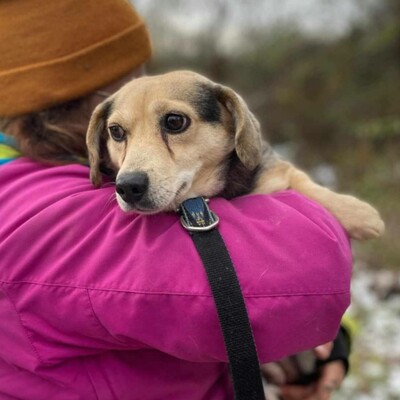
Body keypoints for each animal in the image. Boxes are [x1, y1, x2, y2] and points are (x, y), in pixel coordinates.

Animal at [86, 69, 384, 241]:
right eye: (116, 131)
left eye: (174, 121)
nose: (127, 187)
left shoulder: (276, 169)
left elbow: (305, 181)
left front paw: (359, 214)